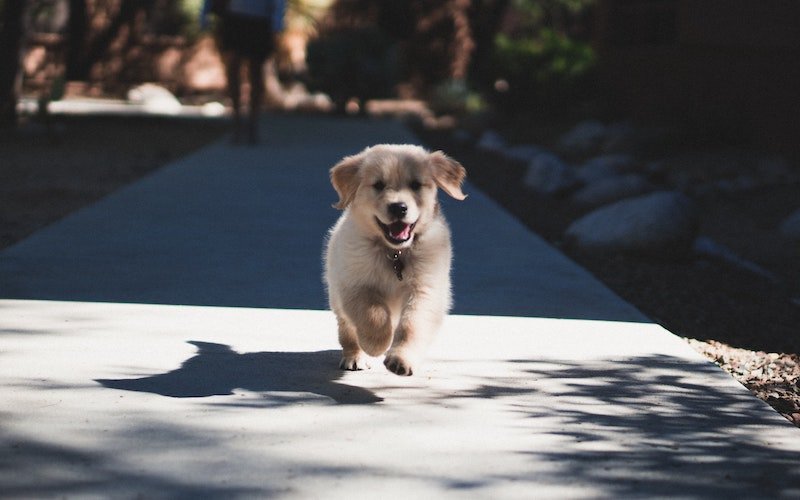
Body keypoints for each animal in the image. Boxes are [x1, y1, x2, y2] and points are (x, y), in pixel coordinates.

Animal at [322, 145, 466, 376]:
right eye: (378, 185)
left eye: (415, 185)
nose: (399, 207)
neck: (395, 253)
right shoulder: (354, 284)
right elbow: (373, 314)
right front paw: (377, 344)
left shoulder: (425, 289)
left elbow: (412, 326)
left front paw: (401, 359)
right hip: (336, 296)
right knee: (347, 331)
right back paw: (355, 356)